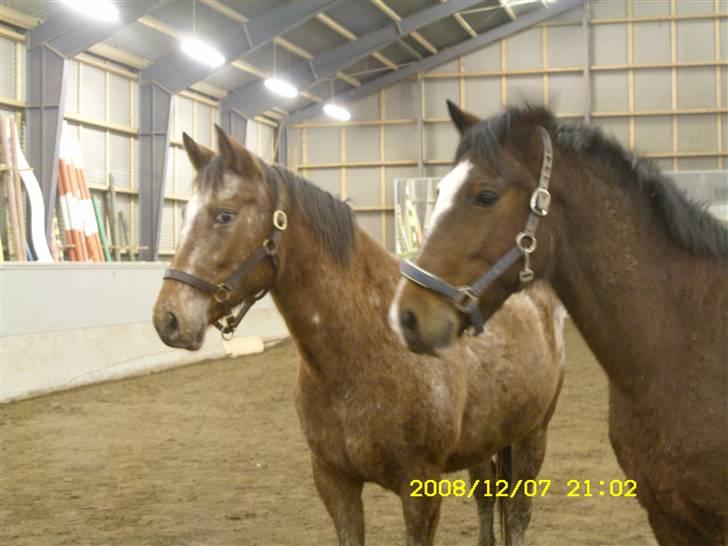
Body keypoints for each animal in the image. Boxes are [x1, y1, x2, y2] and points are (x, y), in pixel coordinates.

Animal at [152, 124, 564, 544]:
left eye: (225, 215)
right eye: (183, 213)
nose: (168, 318)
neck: (365, 348)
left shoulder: (420, 488)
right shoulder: (334, 481)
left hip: (533, 435)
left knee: (517, 513)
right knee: (486, 497)